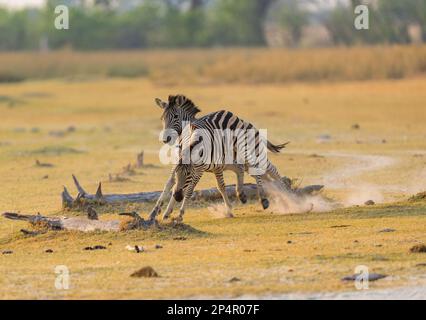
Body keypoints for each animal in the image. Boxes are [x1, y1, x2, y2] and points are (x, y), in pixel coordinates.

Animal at [148, 94, 288, 221]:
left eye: (176, 117)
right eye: (162, 118)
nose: (165, 139)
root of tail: (247, 123)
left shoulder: (201, 169)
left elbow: (190, 190)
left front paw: (179, 214)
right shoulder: (187, 166)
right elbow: (170, 184)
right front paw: (157, 212)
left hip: (254, 153)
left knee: (272, 170)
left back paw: (283, 195)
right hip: (243, 163)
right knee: (262, 177)